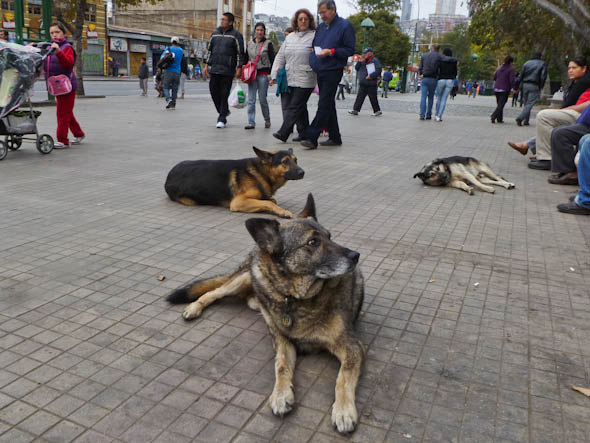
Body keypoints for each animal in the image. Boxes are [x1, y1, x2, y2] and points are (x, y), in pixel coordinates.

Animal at [165, 147, 306, 219]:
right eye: (285, 161)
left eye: (296, 160)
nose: (302, 172)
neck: (261, 172)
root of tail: (169, 174)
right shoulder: (238, 202)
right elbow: (268, 202)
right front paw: (282, 211)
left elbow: (270, 201)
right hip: (190, 201)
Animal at [166, 196, 368, 436]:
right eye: (313, 242)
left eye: (330, 236)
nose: (356, 256)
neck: (296, 298)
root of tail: (258, 247)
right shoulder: (283, 341)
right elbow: (280, 366)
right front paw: (281, 395)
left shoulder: (352, 346)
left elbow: (343, 377)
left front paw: (343, 410)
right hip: (247, 276)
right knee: (213, 291)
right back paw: (195, 307)